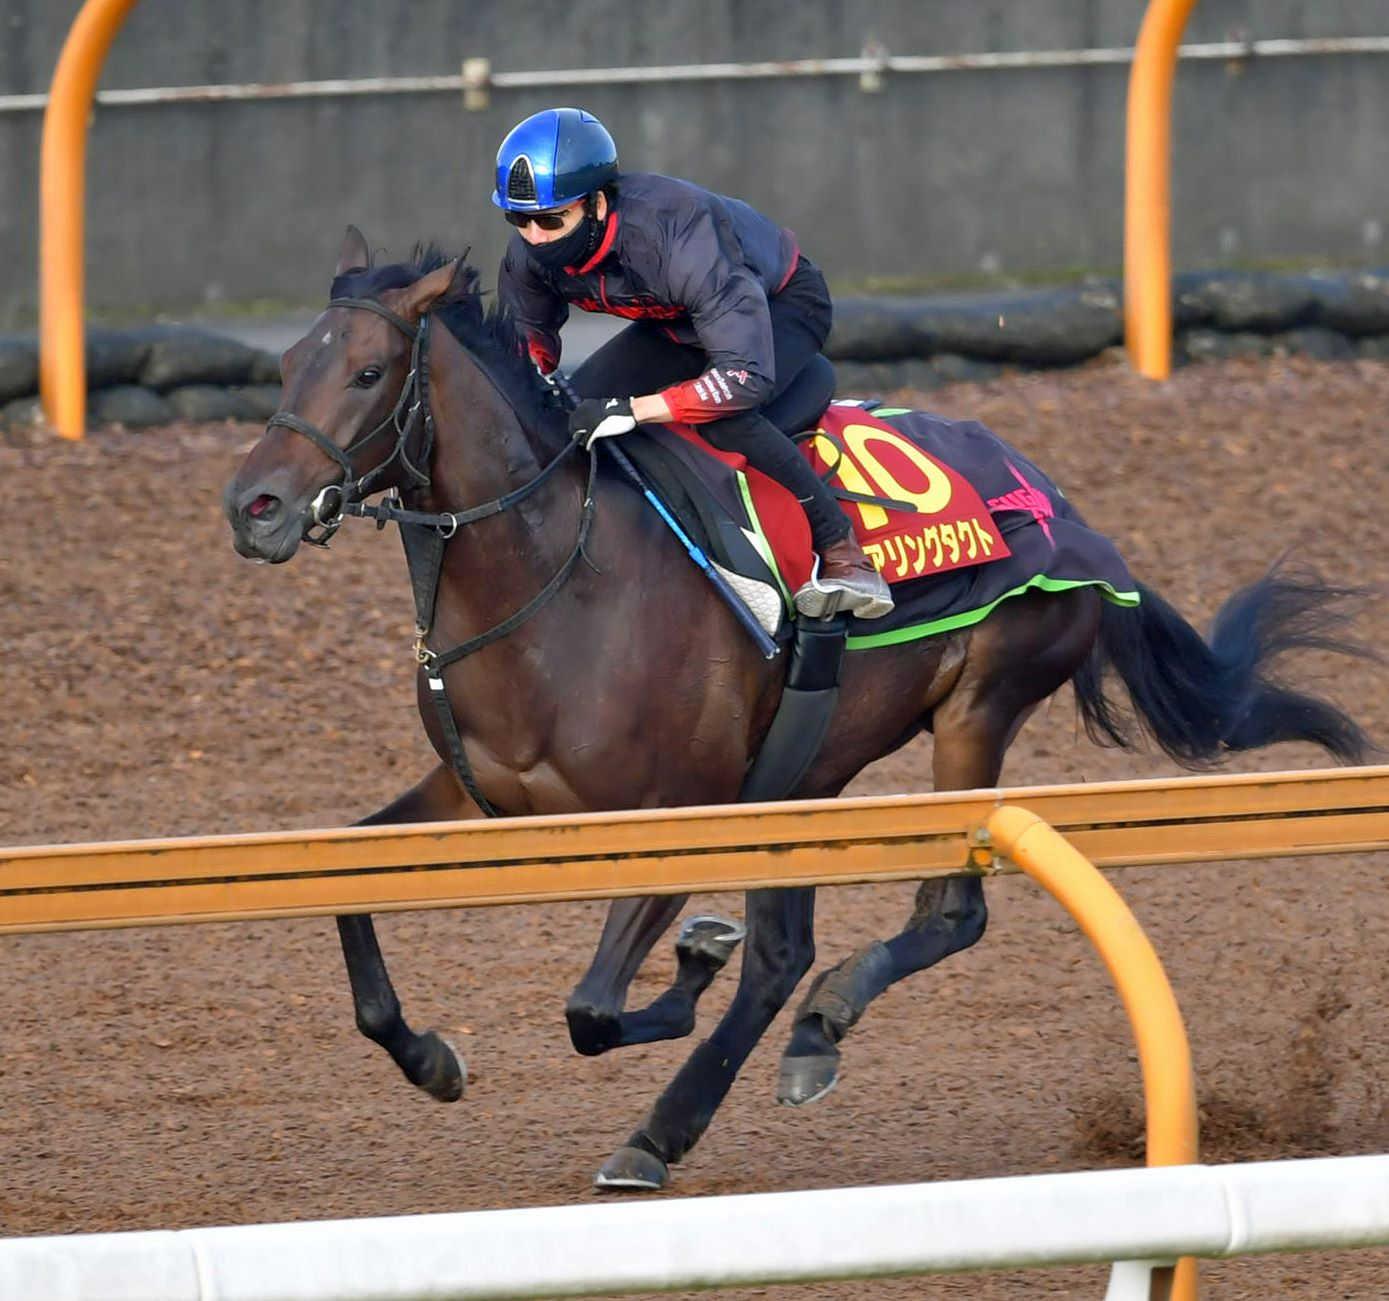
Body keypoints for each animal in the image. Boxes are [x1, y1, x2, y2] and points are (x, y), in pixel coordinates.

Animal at [222, 230, 1372, 1188]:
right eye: (284, 369)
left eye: (367, 372)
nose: (253, 508)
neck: (559, 579)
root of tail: (1063, 505)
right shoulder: (481, 793)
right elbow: (350, 889)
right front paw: (431, 1057)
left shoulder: (678, 809)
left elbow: (593, 1007)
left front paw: (690, 960)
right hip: (808, 764)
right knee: (786, 956)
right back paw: (694, 1108)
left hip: (978, 704)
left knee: (943, 912)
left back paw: (796, 1036)